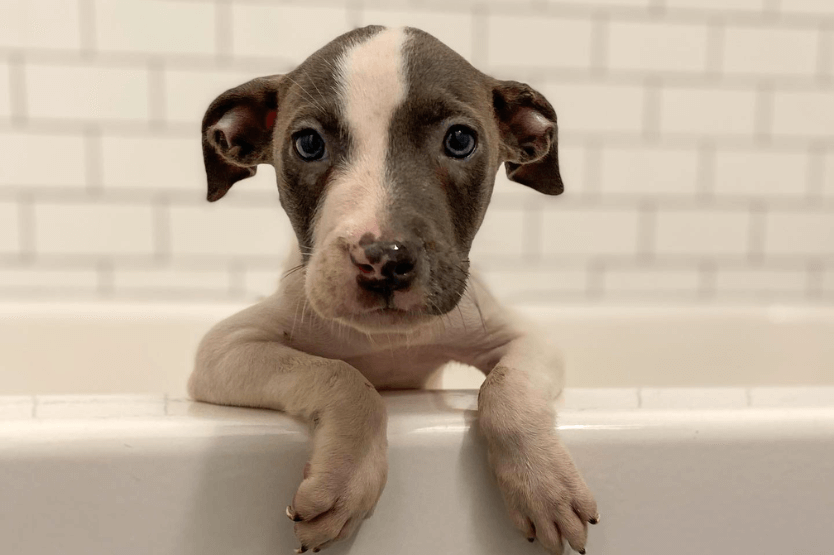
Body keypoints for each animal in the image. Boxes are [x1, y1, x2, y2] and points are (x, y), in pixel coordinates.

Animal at [188, 25, 596, 555]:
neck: (386, 340)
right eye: (307, 143)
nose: (384, 257)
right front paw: (346, 479)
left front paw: (542, 483)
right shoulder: (224, 351)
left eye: (460, 140)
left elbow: (505, 385)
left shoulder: (526, 339)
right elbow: (344, 376)